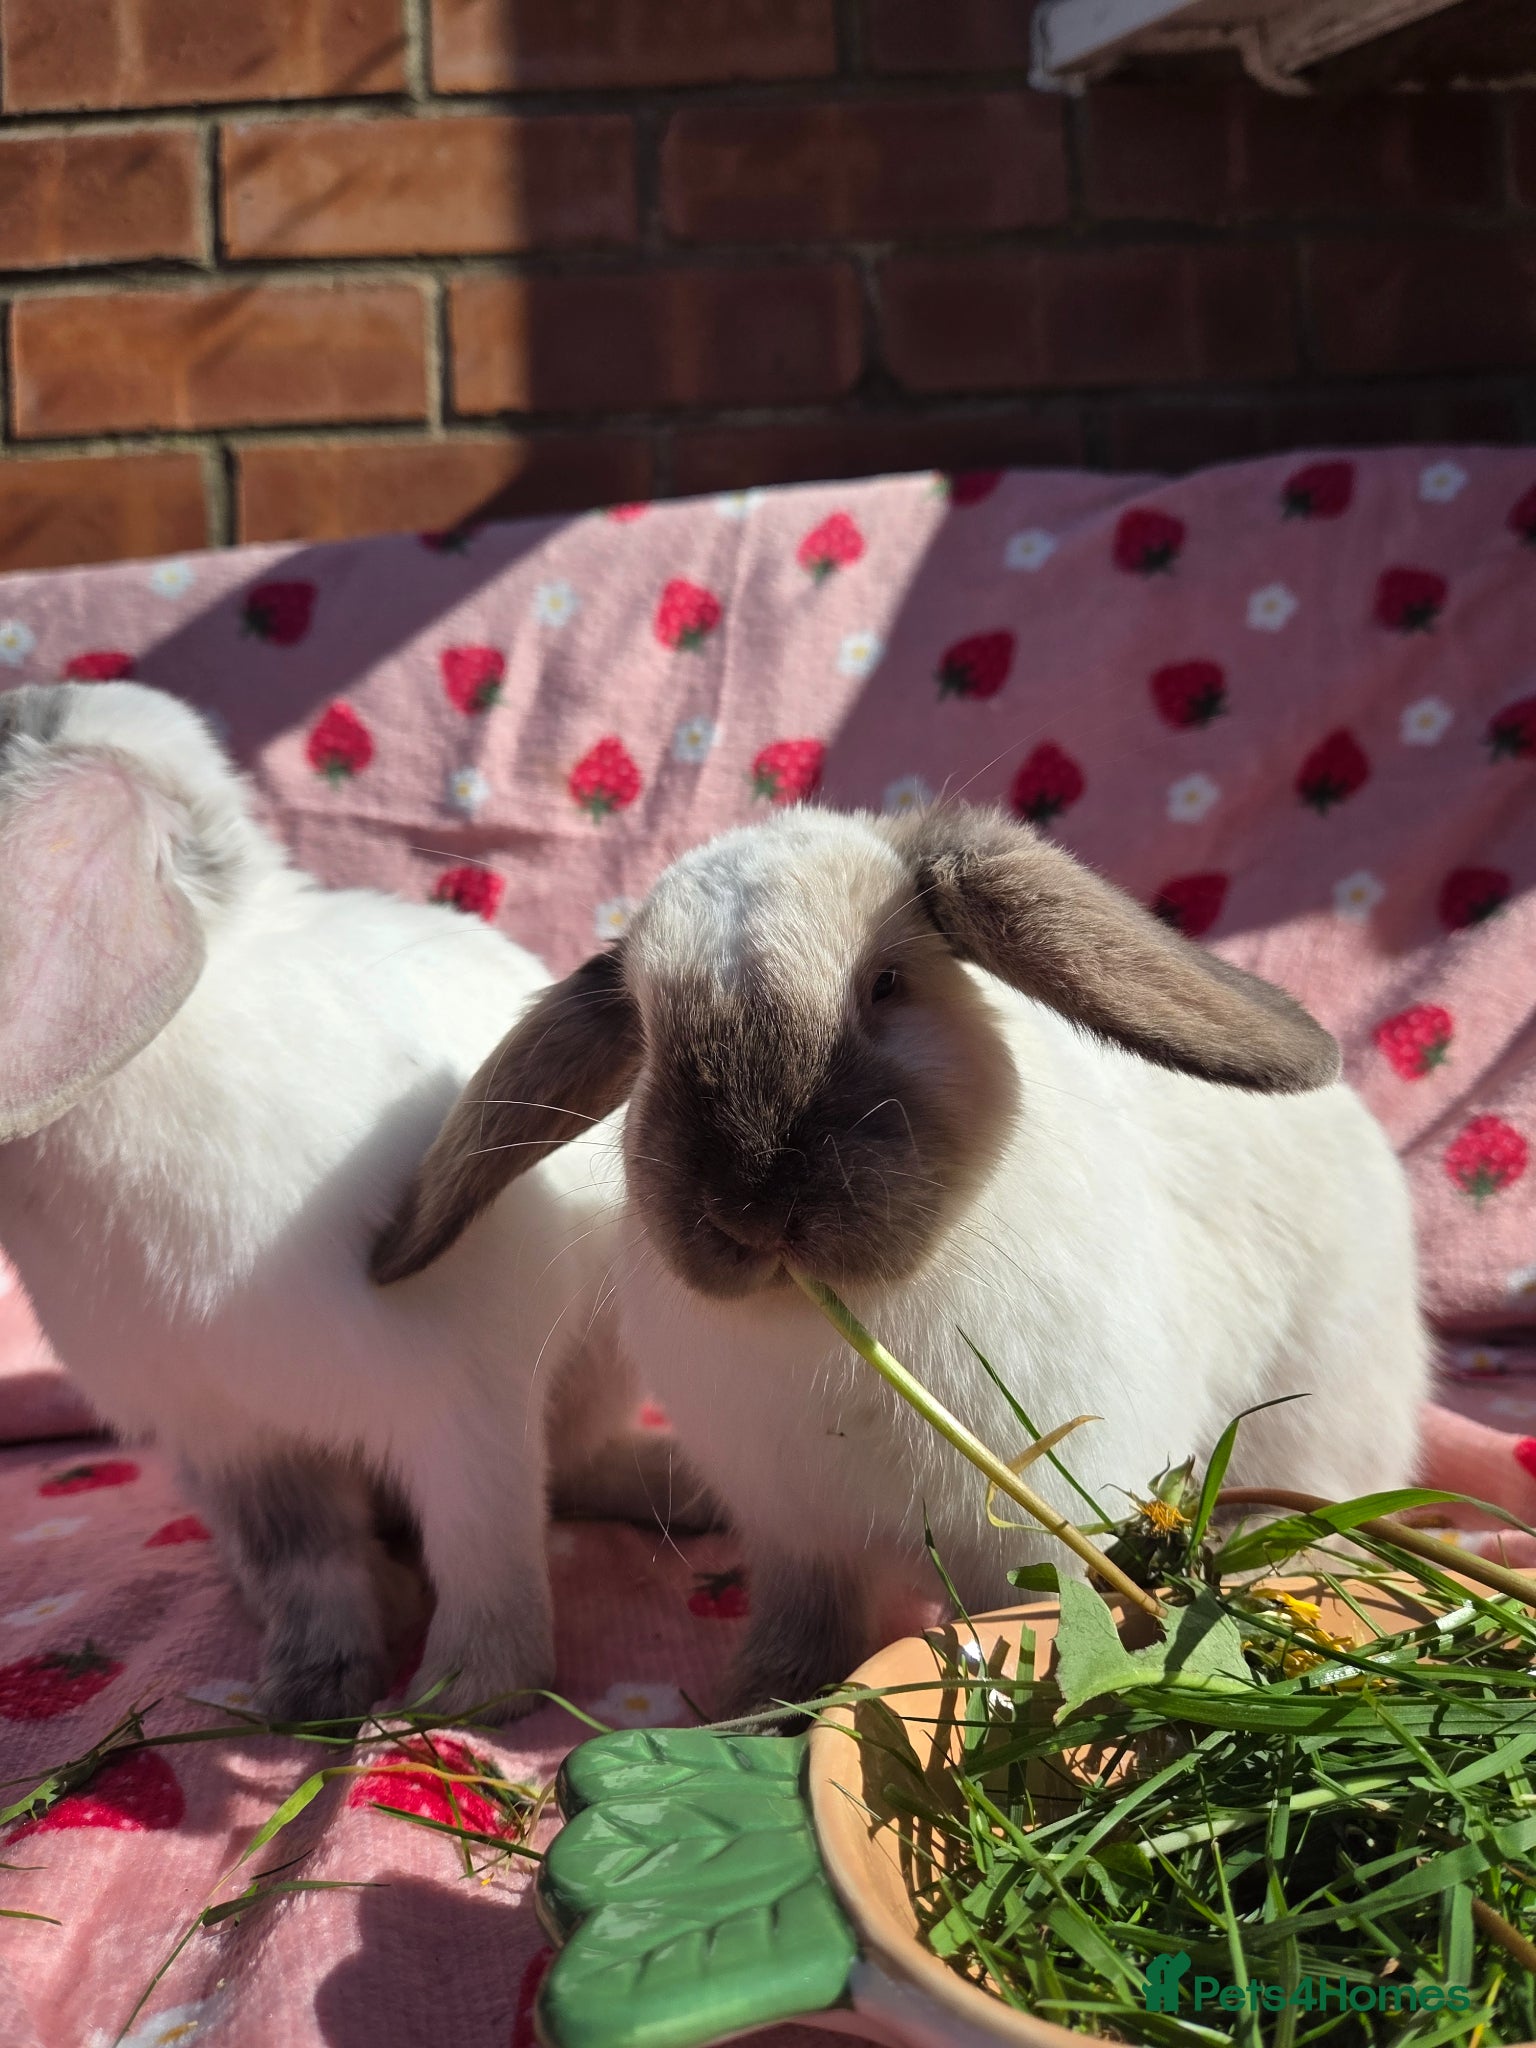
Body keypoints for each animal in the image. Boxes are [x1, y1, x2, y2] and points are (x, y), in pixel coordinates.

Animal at [0, 678, 680, 1723]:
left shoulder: (466, 1410)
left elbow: (488, 1557)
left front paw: (464, 1697)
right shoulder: (240, 1443)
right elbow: (306, 1566)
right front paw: (306, 1694)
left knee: (568, 1473)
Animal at [372, 801, 1429, 1714]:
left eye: (886, 983)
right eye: (648, 1028)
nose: (752, 1201)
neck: (834, 1326)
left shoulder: (1035, 1529)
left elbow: (1035, 1615)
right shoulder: (796, 1539)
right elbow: (803, 1631)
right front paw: (754, 1708)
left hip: (1325, 1408)